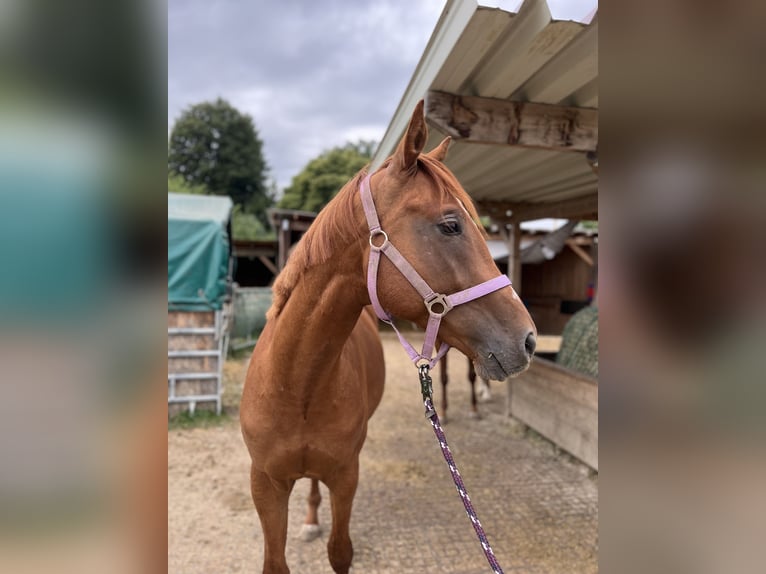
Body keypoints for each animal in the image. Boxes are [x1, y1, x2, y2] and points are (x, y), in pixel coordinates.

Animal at [243, 101, 536, 572]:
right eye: (451, 225)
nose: (527, 340)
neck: (296, 385)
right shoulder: (265, 484)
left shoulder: (346, 475)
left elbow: (340, 551)